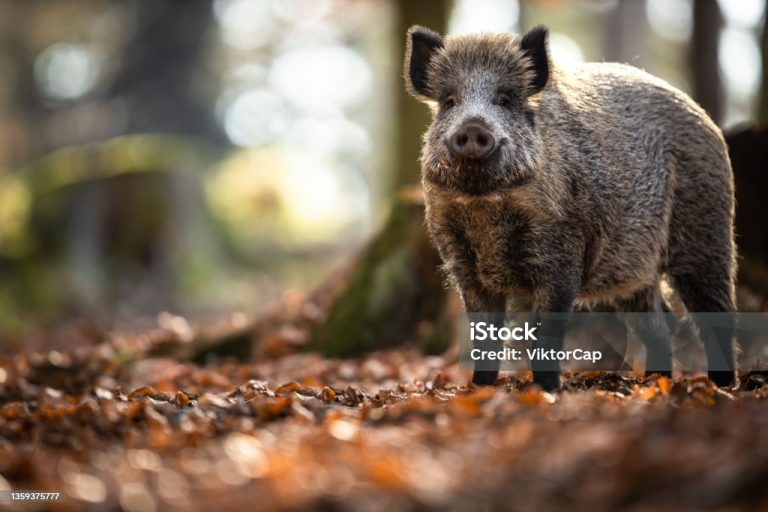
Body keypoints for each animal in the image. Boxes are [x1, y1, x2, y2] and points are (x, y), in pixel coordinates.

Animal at [404, 25, 737, 391]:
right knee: (661, 322)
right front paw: (479, 390)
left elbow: (546, 332)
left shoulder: (561, 252)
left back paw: (722, 387)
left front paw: (547, 391)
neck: (486, 206)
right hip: (633, 269)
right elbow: (484, 336)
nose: (473, 127)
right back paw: (654, 383)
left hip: (707, 230)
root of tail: (704, 118)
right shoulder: (462, 263)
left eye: (505, 100)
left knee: (716, 313)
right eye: (449, 102)